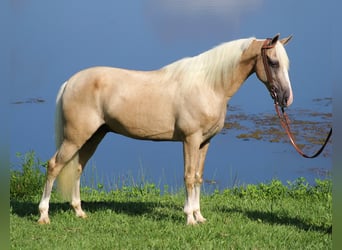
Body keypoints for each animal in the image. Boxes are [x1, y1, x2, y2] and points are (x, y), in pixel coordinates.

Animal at [38, 33, 292, 225]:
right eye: (273, 62)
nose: (286, 98)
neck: (209, 85)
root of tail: (70, 82)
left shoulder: (204, 142)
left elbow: (198, 177)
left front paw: (199, 216)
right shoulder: (190, 140)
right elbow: (188, 177)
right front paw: (189, 218)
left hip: (93, 137)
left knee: (78, 168)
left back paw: (79, 211)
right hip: (75, 137)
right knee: (54, 166)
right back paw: (43, 215)